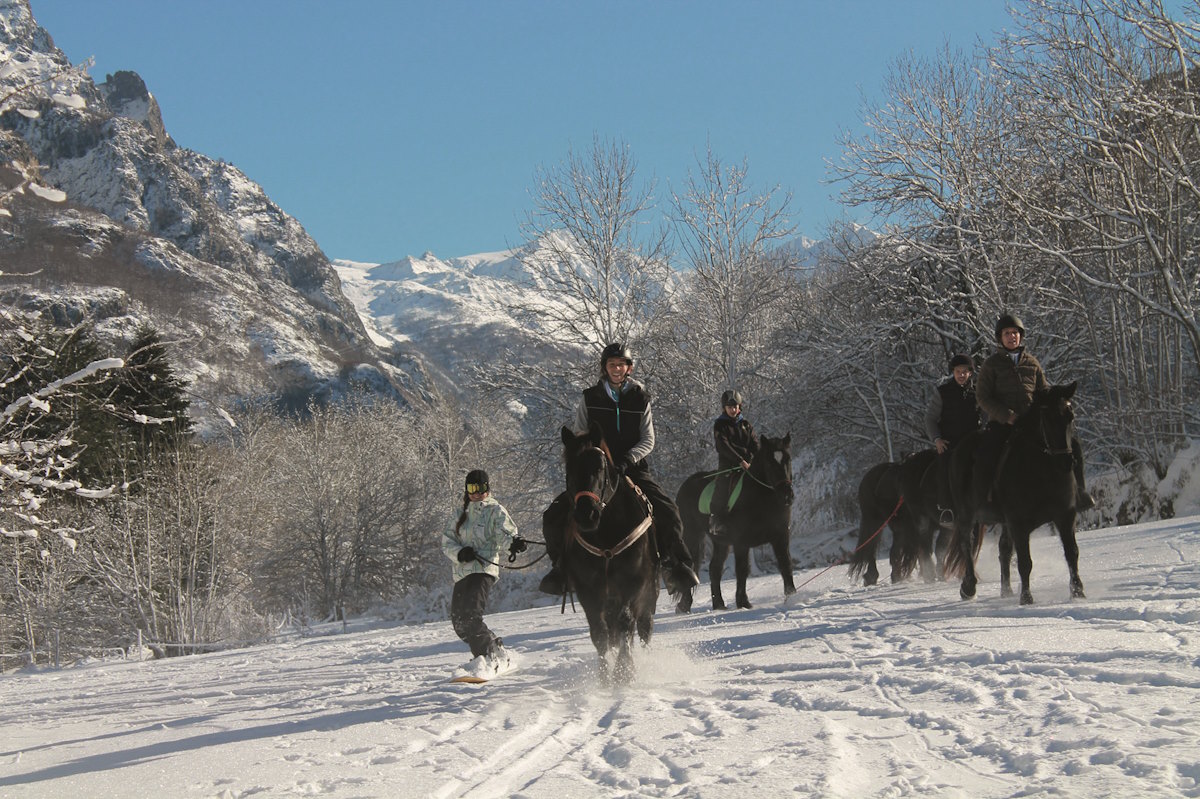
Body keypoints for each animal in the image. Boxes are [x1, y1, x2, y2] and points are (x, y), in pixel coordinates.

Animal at [559, 422, 662, 676]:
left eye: (600, 467)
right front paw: (605, 675)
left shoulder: (634, 581)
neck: (606, 533)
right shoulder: (588, 589)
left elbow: (626, 621)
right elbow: (599, 632)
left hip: (649, 592)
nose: (587, 514)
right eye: (570, 468)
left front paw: (623, 672)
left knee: (644, 626)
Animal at [676, 429, 796, 609]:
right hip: (692, 536)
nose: (787, 496)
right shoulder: (741, 542)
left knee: (715, 569)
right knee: (692, 567)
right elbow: (742, 569)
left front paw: (792, 596)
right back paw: (684, 606)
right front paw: (743, 602)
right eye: (769, 462)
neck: (761, 499)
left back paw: (718, 604)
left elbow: (785, 564)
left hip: (720, 542)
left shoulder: (780, 537)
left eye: (788, 459)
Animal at [945, 381, 1089, 604]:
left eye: (1070, 416)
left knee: (1003, 549)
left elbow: (1072, 553)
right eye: (1047, 417)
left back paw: (1006, 591)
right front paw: (1026, 598)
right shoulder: (1019, 523)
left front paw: (1078, 592)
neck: (1043, 471)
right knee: (966, 544)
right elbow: (1025, 561)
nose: (1066, 462)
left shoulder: (1065, 516)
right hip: (967, 514)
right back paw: (968, 587)